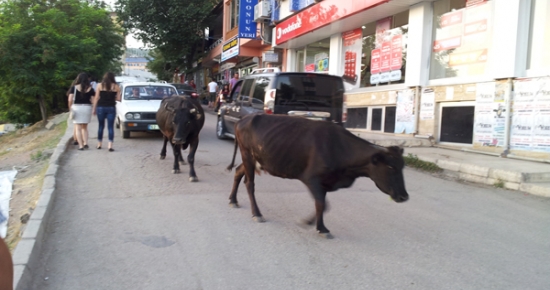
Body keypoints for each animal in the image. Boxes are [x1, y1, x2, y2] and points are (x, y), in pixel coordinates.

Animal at [226, 113, 412, 238]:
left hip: (254, 159)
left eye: (402, 166)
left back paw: (233, 200)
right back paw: (257, 214)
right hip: (247, 155)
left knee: (238, 172)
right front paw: (320, 228)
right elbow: (322, 205)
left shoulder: (325, 183)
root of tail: (244, 119)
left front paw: (312, 223)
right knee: (250, 183)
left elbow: (323, 205)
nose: (404, 196)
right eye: (390, 167)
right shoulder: (312, 179)